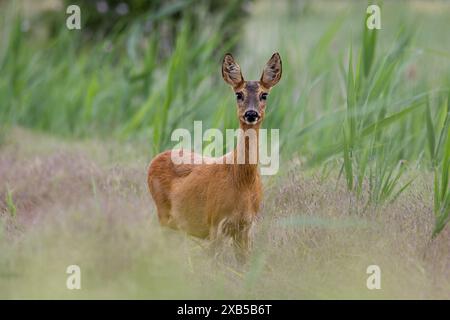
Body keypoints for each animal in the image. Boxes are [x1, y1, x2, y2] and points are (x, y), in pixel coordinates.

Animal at [148, 52, 282, 260]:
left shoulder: (247, 227)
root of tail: (157, 157)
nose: (251, 114)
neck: (242, 182)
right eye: (238, 94)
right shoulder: (215, 222)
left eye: (264, 94)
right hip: (163, 214)